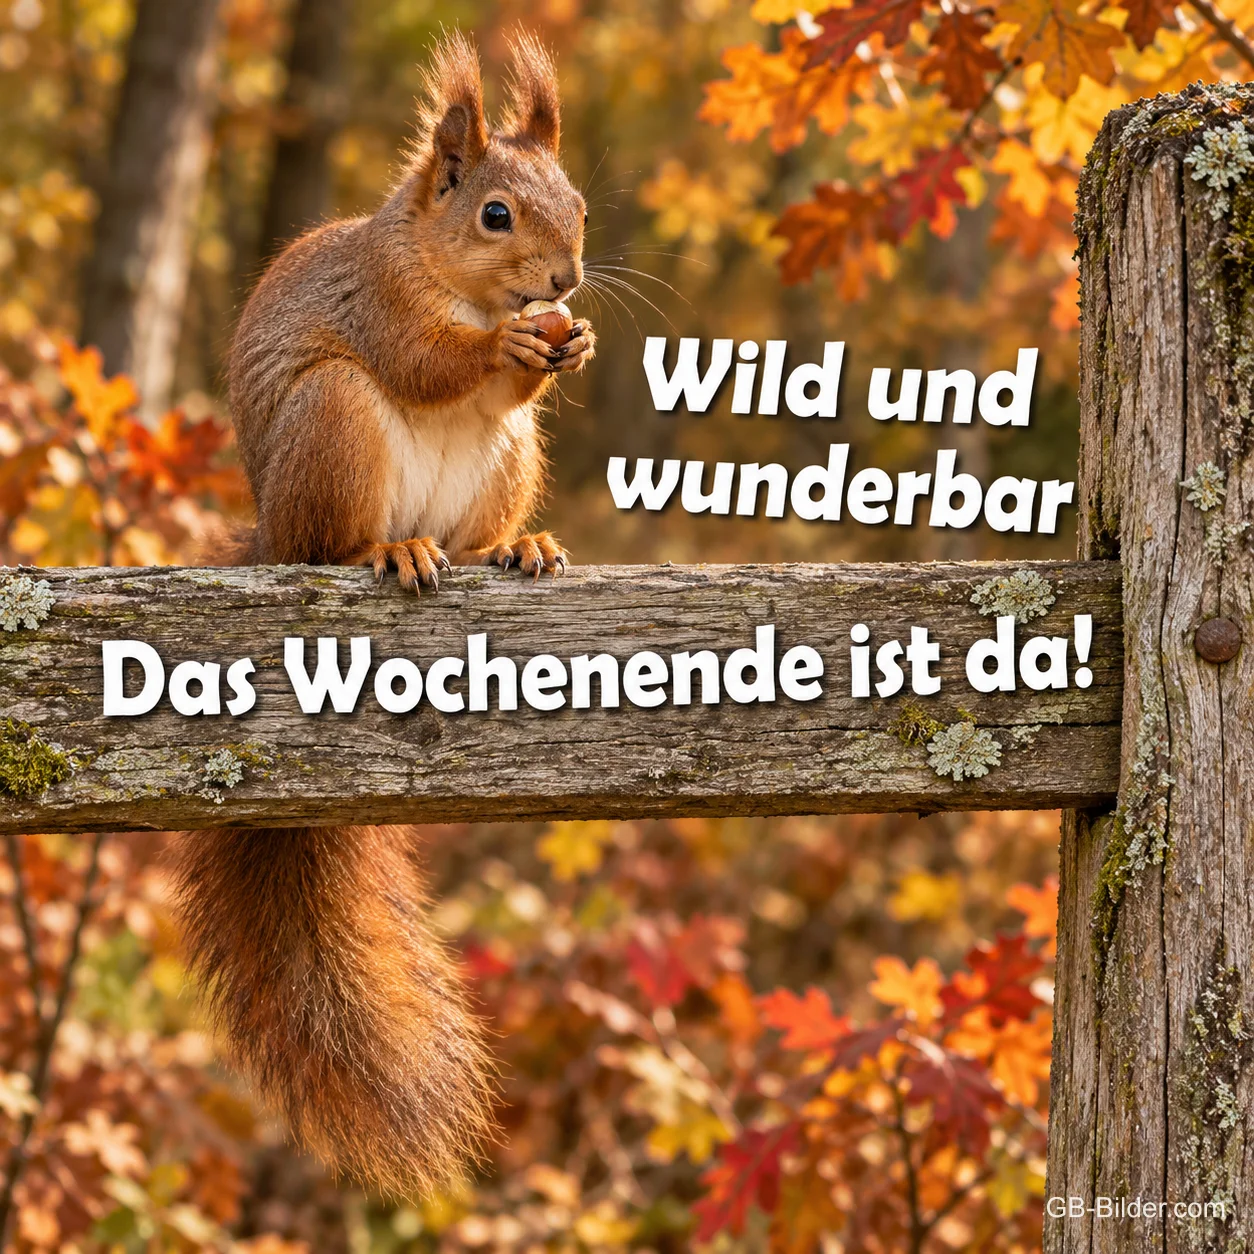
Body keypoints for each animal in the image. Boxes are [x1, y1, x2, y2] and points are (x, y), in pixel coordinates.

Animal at [174, 32, 594, 1197]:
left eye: (581, 204)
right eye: (494, 214)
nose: (566, 281)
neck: (452, 278)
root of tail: (273, 523)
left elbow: (517, 388)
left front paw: (571, 343)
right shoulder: (382, 308)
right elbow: (428, 362)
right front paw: (501, 352)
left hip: (508, 461)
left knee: (490, 501)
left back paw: (512, 547)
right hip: (336, 419)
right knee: (340, 538)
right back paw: (386, 550)